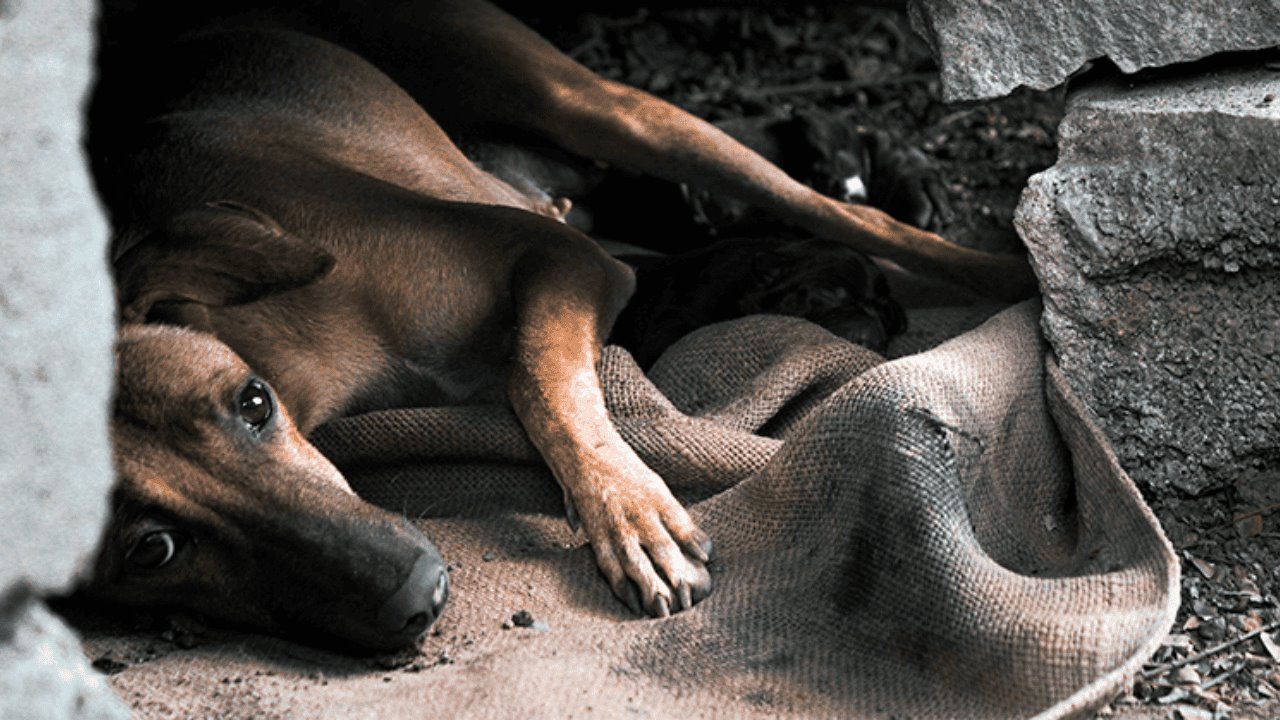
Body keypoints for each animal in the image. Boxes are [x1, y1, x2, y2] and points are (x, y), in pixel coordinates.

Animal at [87, 1, 1029, 650]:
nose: (415, 595)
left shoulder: (557, 257)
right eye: (150, 552)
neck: (301, 355)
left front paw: (630, 511)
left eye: (252, 404)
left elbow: (538, 378)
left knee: (849, 217)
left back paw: (1007, 273)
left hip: (596, 104)